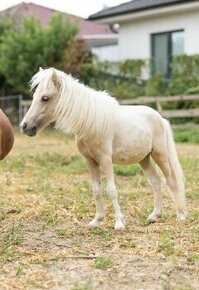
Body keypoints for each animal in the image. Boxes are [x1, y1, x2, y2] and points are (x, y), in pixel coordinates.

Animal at [19, 67, 186, 229]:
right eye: (35, 96)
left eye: (45, 98)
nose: (25, 126)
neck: (90, 123)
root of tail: (161, 118)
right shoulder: (90, 161)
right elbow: (96, 190)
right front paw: (97, 220)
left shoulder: (105, 160)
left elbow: (111, 190)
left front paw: (119, 223)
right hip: (144, 159)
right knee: (155, 182)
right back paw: (154, 216)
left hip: (160, 155)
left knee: (171, 181)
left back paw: (180, 215)